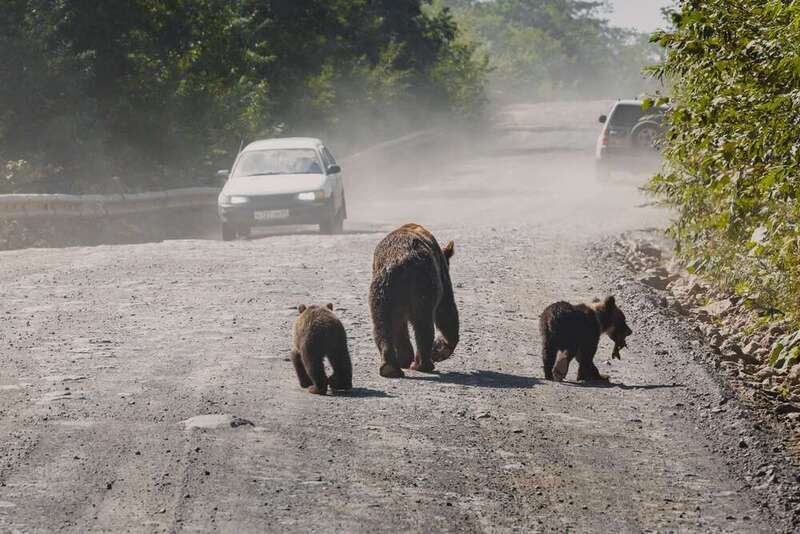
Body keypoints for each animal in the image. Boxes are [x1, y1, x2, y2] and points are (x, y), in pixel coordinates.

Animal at [369, 223, 459, 378]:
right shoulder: (441, 272)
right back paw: (420, 364)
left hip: (384, 290)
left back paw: (392, 367)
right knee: (421, 323)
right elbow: (446, 308)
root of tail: (401, 261)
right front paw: (441, 349)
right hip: (421, 285)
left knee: (383, 323)